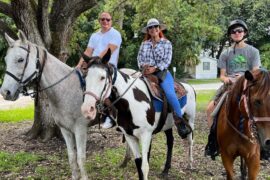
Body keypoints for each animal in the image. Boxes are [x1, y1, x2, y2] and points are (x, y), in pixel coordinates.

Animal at [0, 31, 89, 180]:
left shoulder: (80, 129)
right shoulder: (66, 130)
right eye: (6, 60)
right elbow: (72, 157)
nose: (5, 92)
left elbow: (81, 160)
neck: (67, 88)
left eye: (20, 59)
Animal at [80, 50, 196, 179]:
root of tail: (189, 87)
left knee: (190, 140)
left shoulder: (146, 135)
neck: (130, 103)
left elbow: (144, 167)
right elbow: (138, 163)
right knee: (170, 142)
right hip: (168, 125)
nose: (87, 108)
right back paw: (166, 170)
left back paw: (190, 164)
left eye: (102, 77)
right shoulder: (129, 135)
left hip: (190, 119)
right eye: (85, 77)